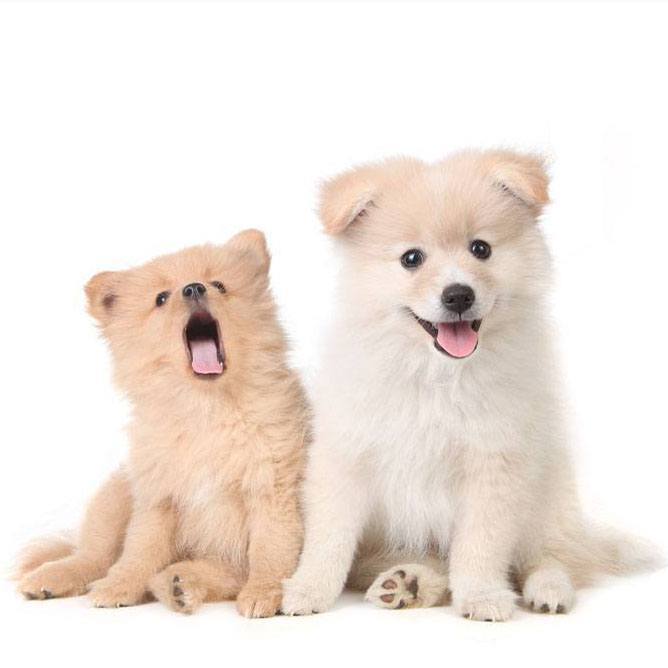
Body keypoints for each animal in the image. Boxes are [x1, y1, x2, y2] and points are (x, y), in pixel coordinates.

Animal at [16, 230, 308, 616]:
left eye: (219, 285)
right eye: (161, 298)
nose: (194, 288)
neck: (206, 409)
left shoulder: (271, 488)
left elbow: (271, 549)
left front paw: (264, 592)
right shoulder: (158, 498)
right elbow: (139, 551)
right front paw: (120, 587)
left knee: (222, 574)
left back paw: (179, 584)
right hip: (115, 496)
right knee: (93, 554)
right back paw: (51, 578)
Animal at [282, 151, 656, 620]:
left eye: (481, 249)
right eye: (411, 258)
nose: (458, 295)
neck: (436, 375)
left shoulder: (494, 463)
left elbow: (481, 544)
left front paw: (481, 595)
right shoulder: (346, 455)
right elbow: (328, 536)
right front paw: (308, 589)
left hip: (548, 499)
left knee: (550, 557)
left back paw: (549, 589)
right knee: (429, 563)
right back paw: (406, 584)